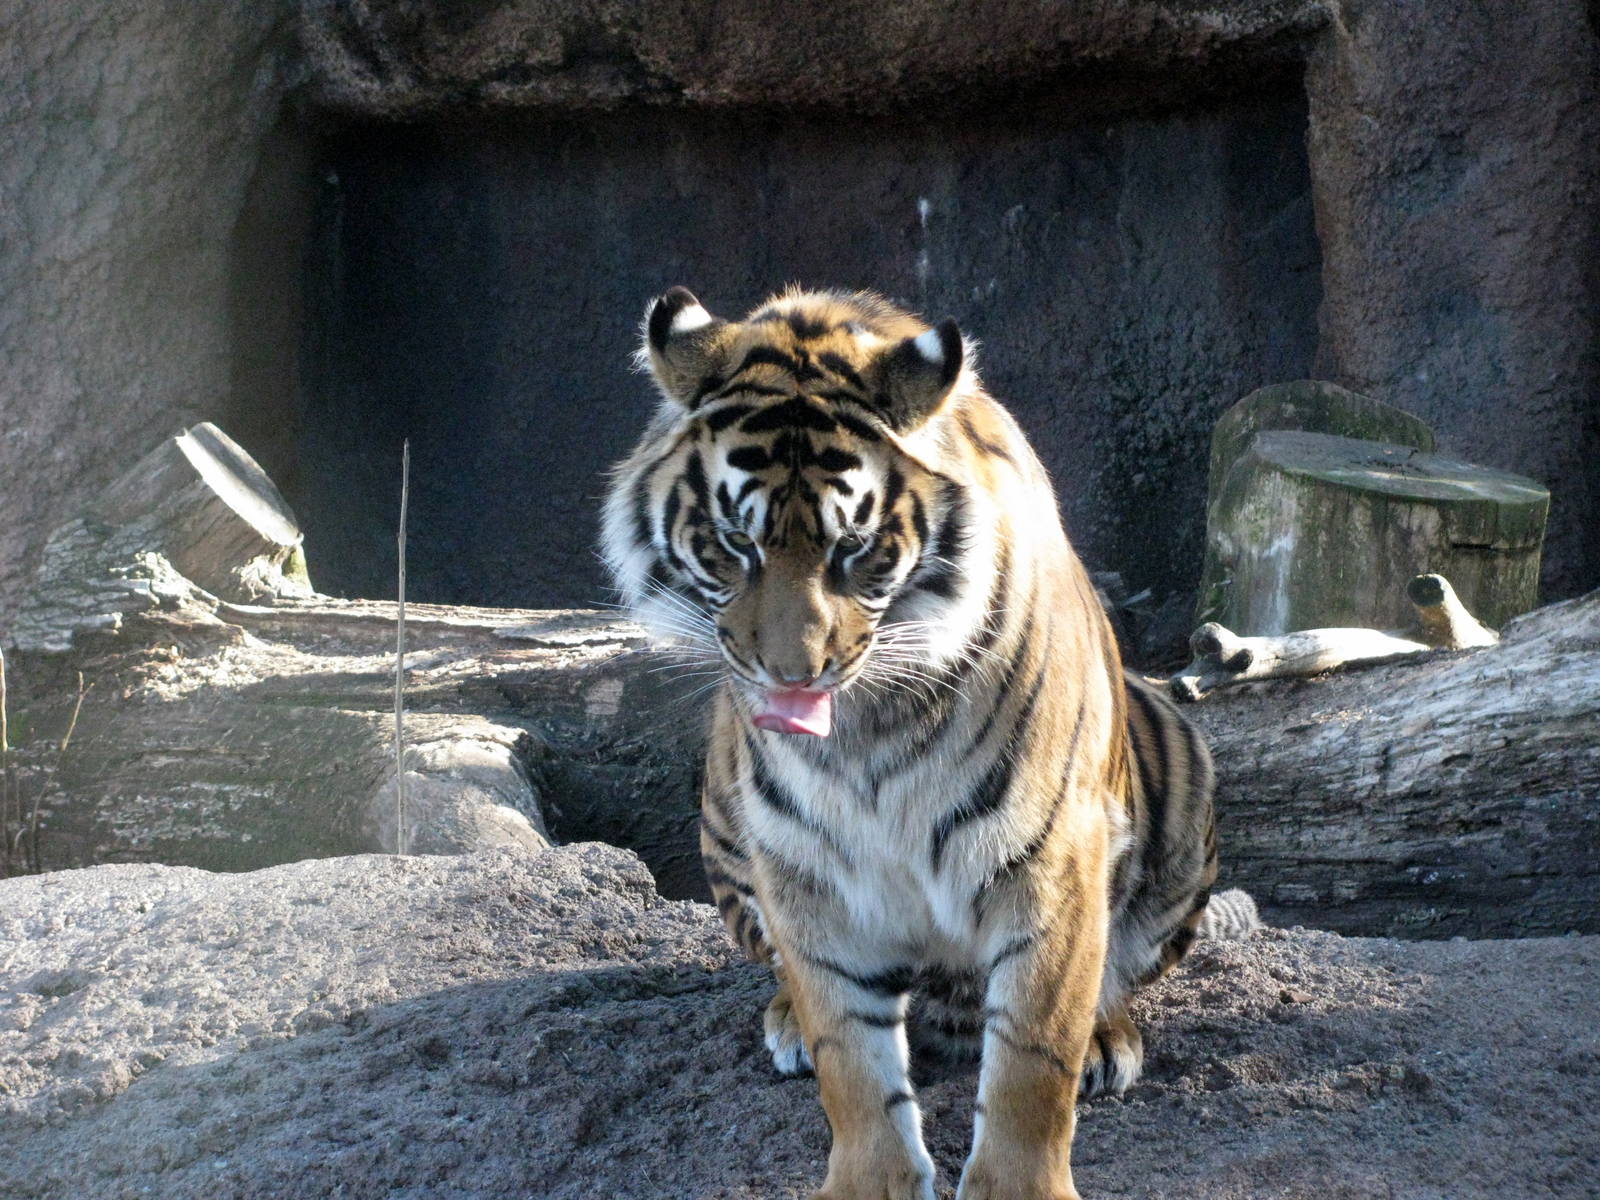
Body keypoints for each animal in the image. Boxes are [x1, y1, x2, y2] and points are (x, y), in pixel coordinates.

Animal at [602, 286, 1224, 1200]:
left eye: (852, 548)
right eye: (736, 543)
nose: (793, 674)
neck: (865, 729)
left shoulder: (1052, 859)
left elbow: (1033, 1058)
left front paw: (1020, 1184)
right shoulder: (807, 868)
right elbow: (851, 1059)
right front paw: (871, 1178)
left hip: (1181, 764)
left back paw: (1106, 1039)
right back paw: (787, 1023)